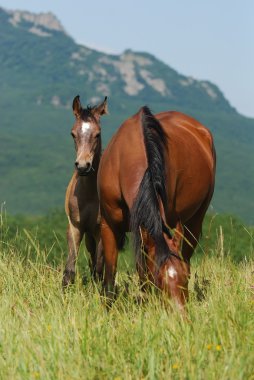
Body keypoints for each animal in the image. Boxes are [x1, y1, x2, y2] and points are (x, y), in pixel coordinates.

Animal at [98, 106, 215, 308]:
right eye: (159, 281)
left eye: (183, 282)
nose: (180, 313)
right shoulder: (109, 225)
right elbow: (112, 276)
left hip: (194, 222)